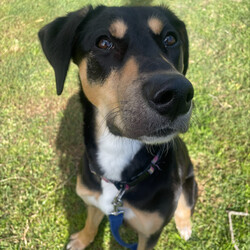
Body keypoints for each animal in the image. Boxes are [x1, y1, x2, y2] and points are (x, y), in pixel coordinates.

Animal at [38, 4, 197, 250]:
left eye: (171, 39)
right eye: (104, 43)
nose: (178, 95)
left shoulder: (149, 232)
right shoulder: (93, 200)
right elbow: (91, 223)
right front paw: (82, 239)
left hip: (189, 182)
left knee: (184, 206)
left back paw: (184, 225)